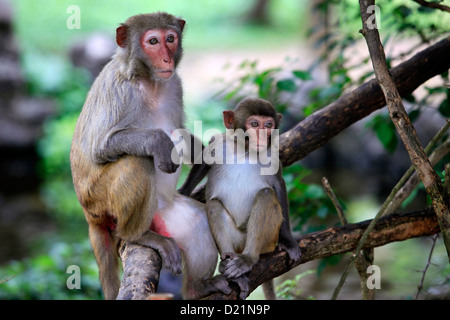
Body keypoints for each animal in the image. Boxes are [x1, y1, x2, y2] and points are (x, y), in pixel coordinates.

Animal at [72, 12, 232, 300]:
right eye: (153, 42)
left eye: (170, 39)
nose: (166, 59)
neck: (150, 82)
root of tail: (89, 213)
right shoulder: (118, 88)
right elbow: (99, 146)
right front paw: (158, 141)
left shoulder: (175, 85)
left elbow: (183, 132)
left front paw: (199, 165)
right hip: (100, 199)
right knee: (136, 161)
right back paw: (136, 235)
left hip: (164, 215)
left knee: (200, 222)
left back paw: (198, 288)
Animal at [206, 98, 300, 300]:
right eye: (255, 124)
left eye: (268, 125)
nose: (263, 136)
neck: (245, 151)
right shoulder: (216, 147)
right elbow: (210, 195)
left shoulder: (272, 155)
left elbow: (278, 186)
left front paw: (288, 241)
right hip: (236, 240)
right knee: (213, 205)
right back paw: (229, 264)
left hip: (268, 239)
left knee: (266, 195)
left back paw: (247, 260)